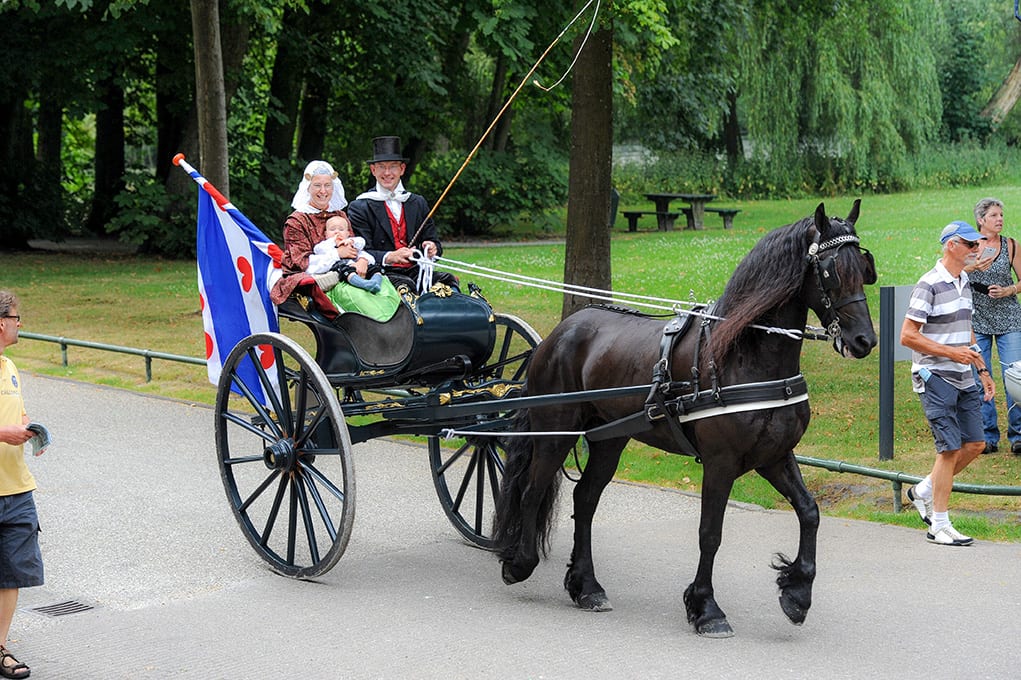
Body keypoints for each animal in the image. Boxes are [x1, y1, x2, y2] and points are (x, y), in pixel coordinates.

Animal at [494, 200, 878, 637]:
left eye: (864, 267)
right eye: (831, 270)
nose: (865, 340)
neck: (744, 355)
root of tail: (561, 332)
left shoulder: (773, 457)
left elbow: (809, 512)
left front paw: (796, 594)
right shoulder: (720, 462)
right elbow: (710, 533)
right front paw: (706, 607)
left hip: (609, 439)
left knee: (585, 499)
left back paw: (586, 586)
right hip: (555, 429)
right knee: (533, 489)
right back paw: (519, 562)